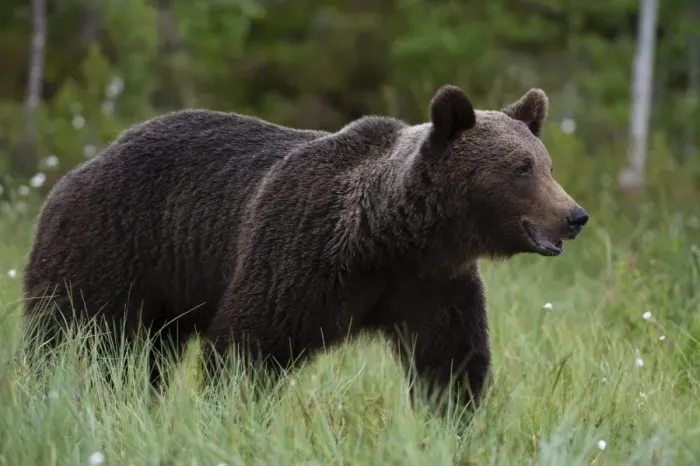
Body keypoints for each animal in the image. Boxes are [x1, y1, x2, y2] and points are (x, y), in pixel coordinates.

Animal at [22, 84, 588, 406]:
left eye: (546, 165)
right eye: (521, 169)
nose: (575, 216)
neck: (392, 238)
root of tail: (83, 165)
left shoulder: (433, 286)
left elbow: (450, 361)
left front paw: (453, 416)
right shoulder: (299, 260)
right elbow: (245, 349)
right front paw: (231, 411)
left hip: (167, 291)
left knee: (148, 355)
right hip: (107, 248)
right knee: (63, 333)